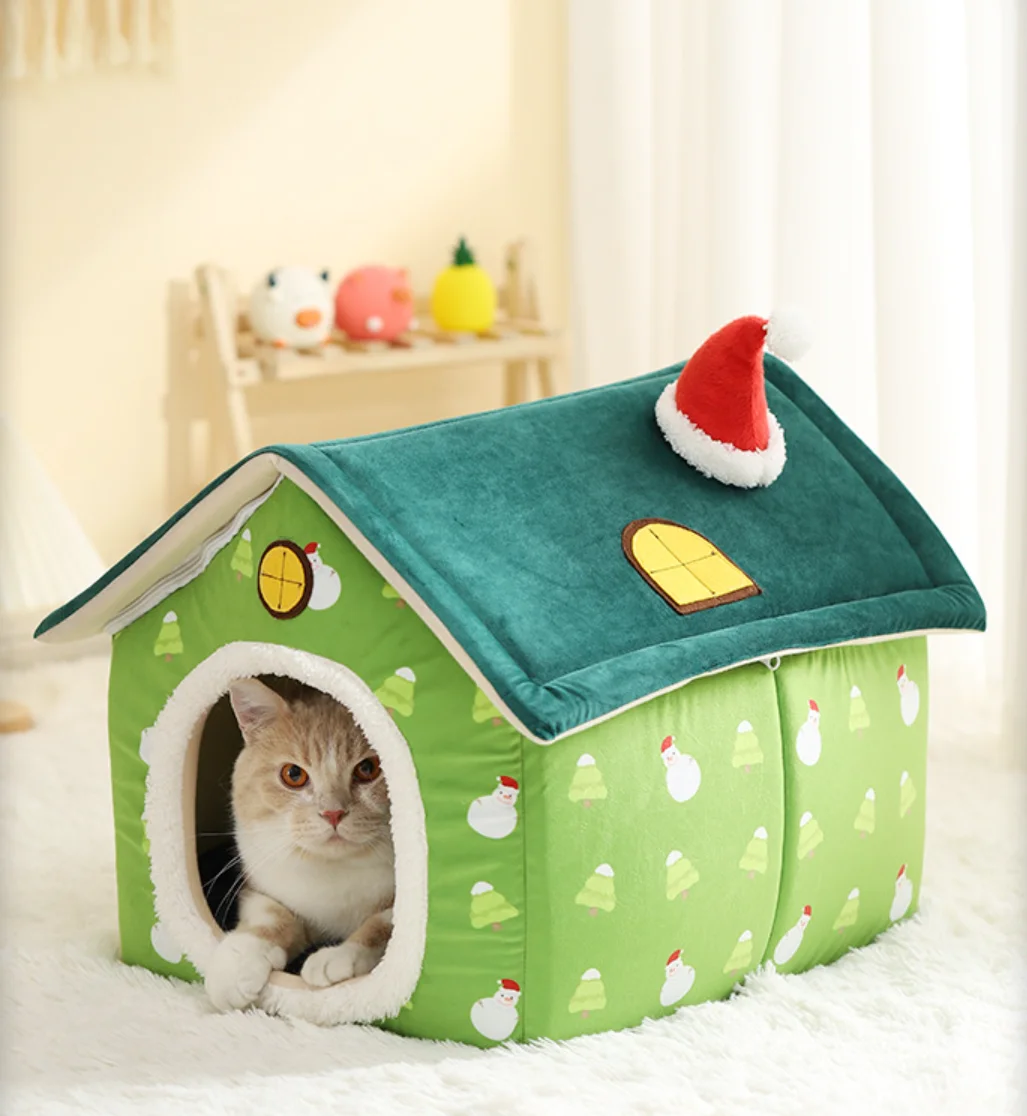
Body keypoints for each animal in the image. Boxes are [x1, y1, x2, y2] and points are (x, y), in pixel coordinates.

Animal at [205, 677, 395, 1012]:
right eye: (293, 774)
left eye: (368, 769)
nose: (333, 813)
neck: (332, 870)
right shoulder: (260, 885)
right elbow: (270, 917)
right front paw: (234, 965)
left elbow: (381, 925)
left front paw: (339, 957)